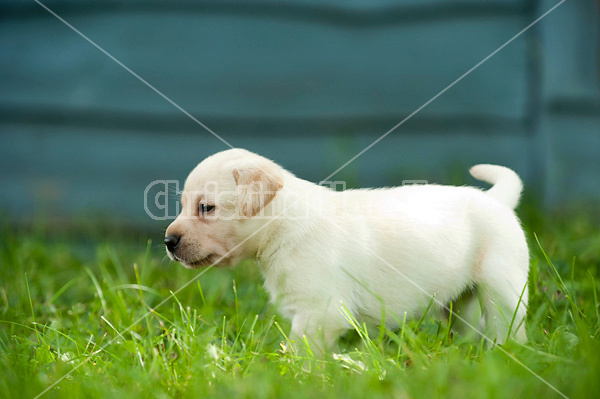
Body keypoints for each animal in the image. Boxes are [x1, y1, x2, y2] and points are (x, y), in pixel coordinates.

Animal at [165, 149, 528, 350]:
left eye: (206, 208)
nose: (168, 241)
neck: (284, 224)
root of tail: (496, 200)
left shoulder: (319, 314)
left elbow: (300, 354)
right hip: (460, 305)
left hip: (502, 290)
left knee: (507, 328)